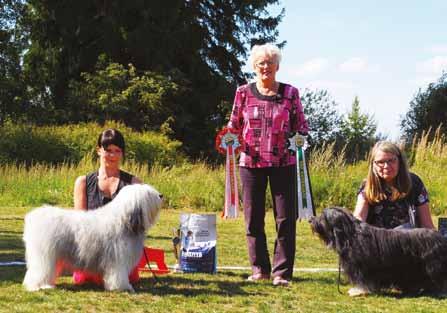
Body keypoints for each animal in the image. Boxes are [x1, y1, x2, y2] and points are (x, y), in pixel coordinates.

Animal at [22, 184, 163, 292]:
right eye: (149, 194)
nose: (161, 195)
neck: (124, 220)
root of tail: (35, 216)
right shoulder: (118, 258)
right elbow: (119, 274)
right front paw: (122, 287)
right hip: (44, 255)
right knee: (38, 271)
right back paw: (38, 286)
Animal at [310, 207, 447, 292]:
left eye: (323, 216)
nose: (311, 219)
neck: (350, 234)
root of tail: (441, 238)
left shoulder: (361, 266)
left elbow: (363, 278)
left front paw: (359, 290)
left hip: (432, 266)